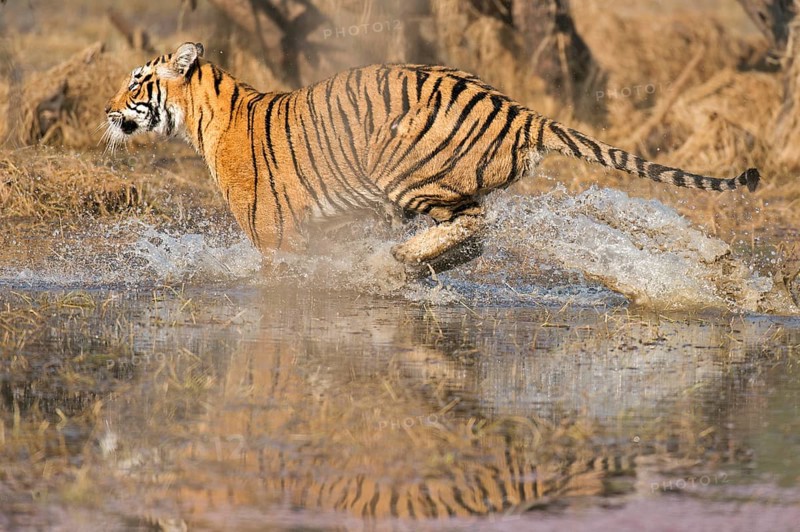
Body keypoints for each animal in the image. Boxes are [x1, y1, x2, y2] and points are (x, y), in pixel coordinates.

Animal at [104, 42, 760, 268]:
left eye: (137, 81)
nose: (108, 111)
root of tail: (520, 109)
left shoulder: (272, 231)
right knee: (476, 234)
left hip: (406, 172)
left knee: (473, 222)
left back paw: (406, 258)